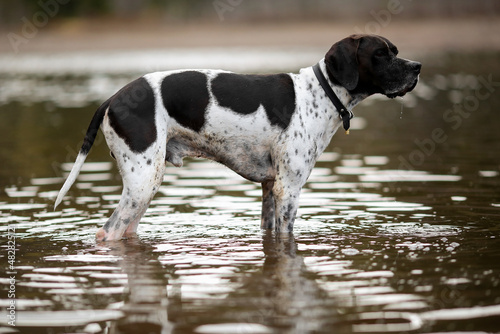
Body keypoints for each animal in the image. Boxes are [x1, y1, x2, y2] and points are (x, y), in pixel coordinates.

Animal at [54, 35, 420, 241]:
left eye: (396, 51)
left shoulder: (271, 188)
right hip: (144, 181)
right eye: (381, 54)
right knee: (107, 233)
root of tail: (113, 98)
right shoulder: (289, 190)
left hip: (140, 191)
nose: (417, 67)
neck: (320, 92)